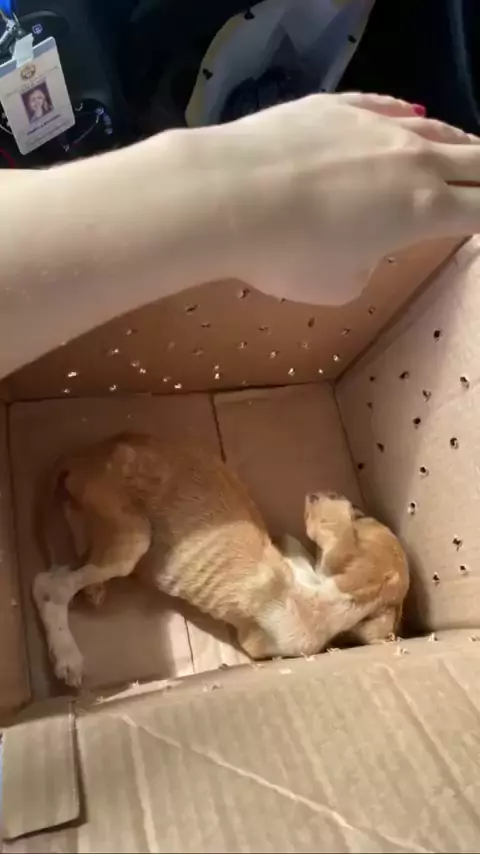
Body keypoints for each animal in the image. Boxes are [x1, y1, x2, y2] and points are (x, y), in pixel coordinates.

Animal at [32, 433, 409, 687]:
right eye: (359, 514)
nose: (326, 492)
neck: (332, 602)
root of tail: (84, 453)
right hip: (130, 539)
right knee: (51, 583)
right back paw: (68, 654)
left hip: (114, 530)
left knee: (63, 566)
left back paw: (88, 598)